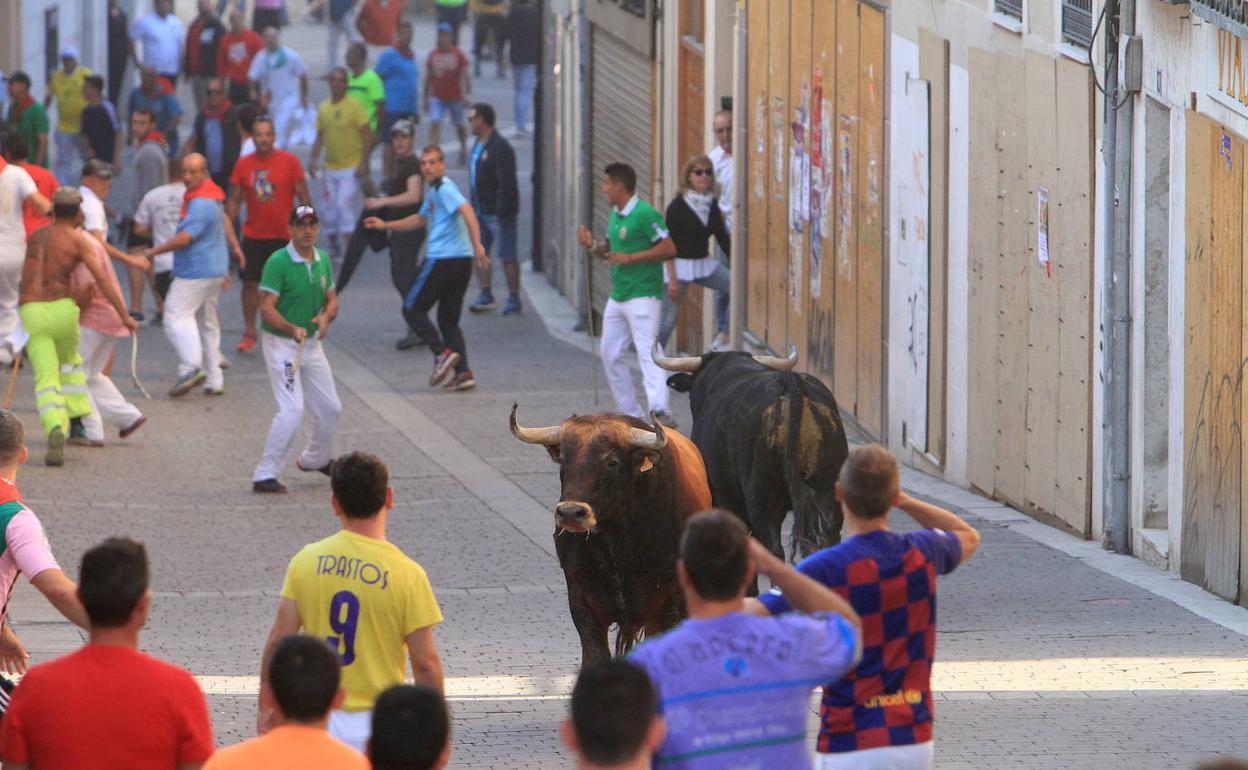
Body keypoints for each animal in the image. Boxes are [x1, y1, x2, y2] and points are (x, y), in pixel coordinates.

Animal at [653, 344, 848, 561]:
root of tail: (791, 385)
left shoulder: (725, 495)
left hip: (762, 499)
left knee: (773, 549)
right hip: (828, 493)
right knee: (826, 540)